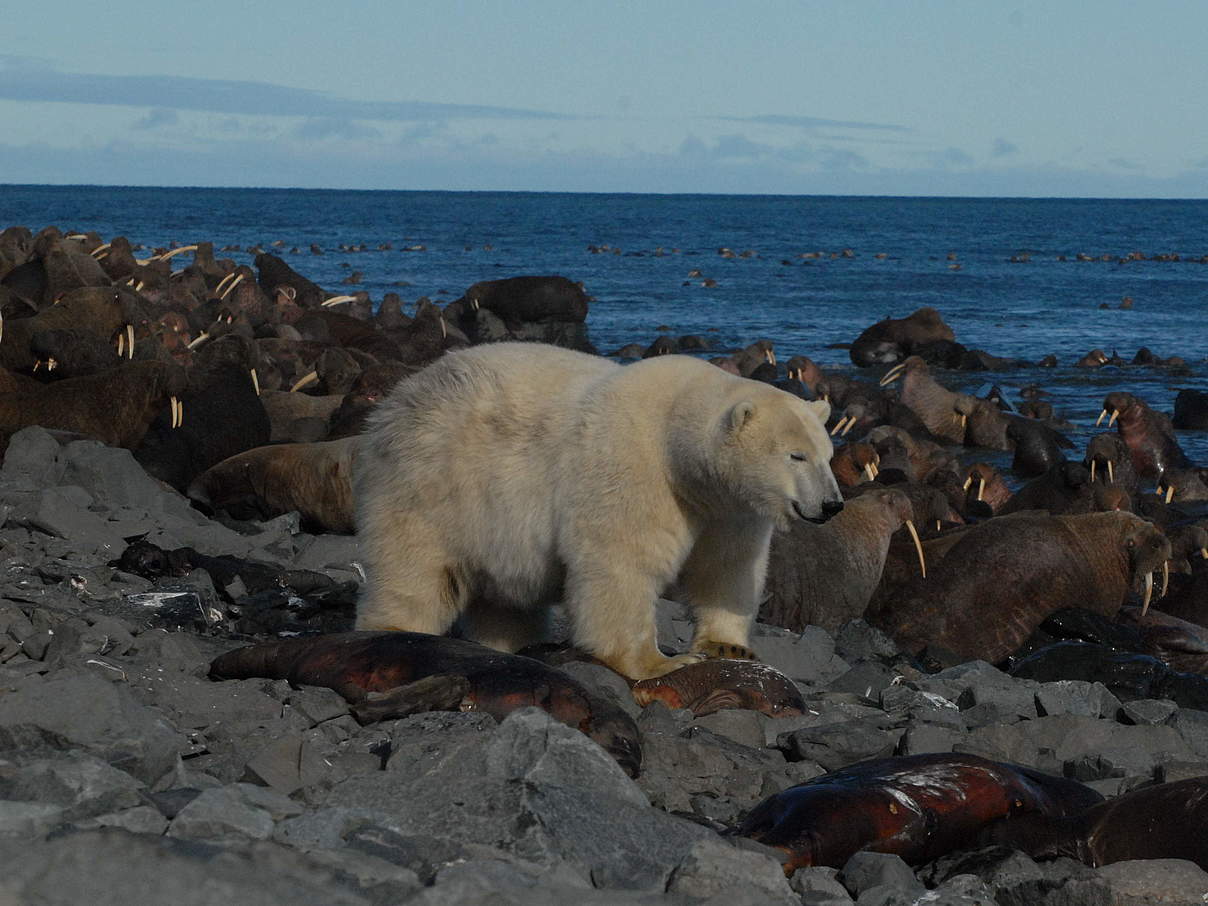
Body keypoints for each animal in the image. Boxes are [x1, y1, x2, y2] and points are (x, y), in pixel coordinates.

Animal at [352, 343, 840, 681]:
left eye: (827, 455)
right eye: (796, 456)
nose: (832, 505)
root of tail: (395, 402)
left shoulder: (728, 508)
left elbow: (727, 568)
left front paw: (729, 647)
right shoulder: (634, 468)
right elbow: (621, 563)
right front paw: (660, 662)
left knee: (505, 601)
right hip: (431, 484)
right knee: (416, 571)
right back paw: (394, 629)